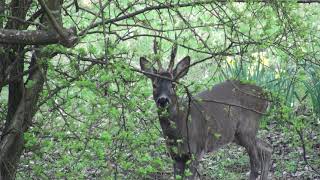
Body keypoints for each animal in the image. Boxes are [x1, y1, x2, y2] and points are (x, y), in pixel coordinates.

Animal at [139, 44, 272, 180]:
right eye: (154, 85)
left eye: (174, 85)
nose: (163, 100)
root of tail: (266, 95)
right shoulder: (175, 156)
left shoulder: (196, 150)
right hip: (237, 134)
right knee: (266, 148)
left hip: (247, 128)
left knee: (255, 163)